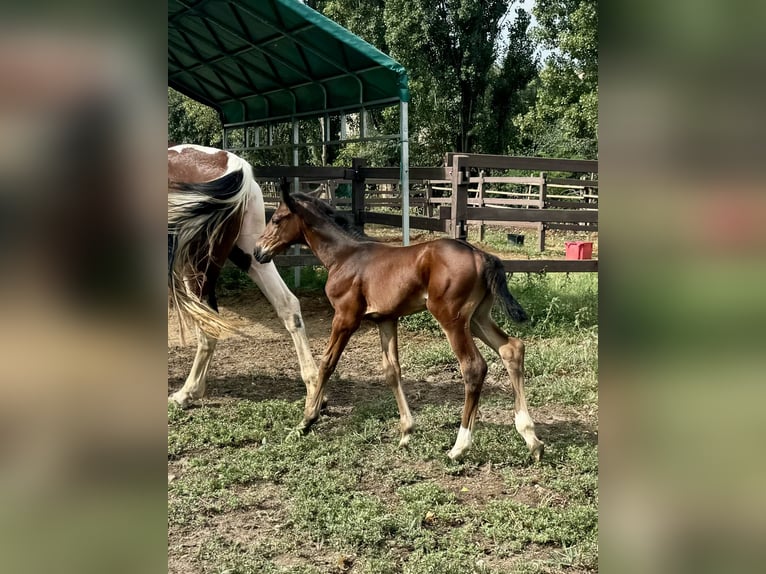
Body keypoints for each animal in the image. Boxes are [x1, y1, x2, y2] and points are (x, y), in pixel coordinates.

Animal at [170, 148, 320, 410]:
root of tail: (236, 166)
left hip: (195, 267)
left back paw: (187, 393)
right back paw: (314, 390)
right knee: (288, 305)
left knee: (208, 325)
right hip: (255, 254)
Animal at [255, 184, 544, 464]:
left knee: (473, 367)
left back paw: (459, 447)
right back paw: (531, 438)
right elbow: (392, 371)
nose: (258, 250)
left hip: (451, 317)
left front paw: (307, 420)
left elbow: (327, 363)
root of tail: (480, 255)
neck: (344, 257)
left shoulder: (346, 317)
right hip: (477, 317)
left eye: (277, 219)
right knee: (512, 348)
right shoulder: (385, 319)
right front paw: (406, 432)